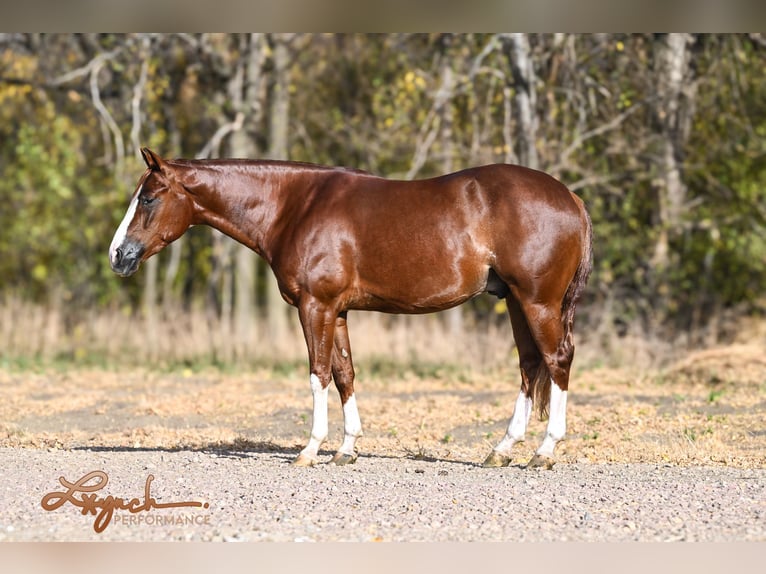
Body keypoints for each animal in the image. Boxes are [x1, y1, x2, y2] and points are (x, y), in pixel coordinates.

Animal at [109, 150, 592, 472]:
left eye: (148, 198)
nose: (118, 255)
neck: (294, 206)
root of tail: (570, 196)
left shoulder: (314, 306)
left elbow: (318, 374)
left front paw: (310, 450)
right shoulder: (337, 311)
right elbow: (344, 373)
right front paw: (346, 449)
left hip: (537, 301)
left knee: (557, 360)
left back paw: (545, 451)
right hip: (515, 301)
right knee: (530, 365)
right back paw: (502, 449)